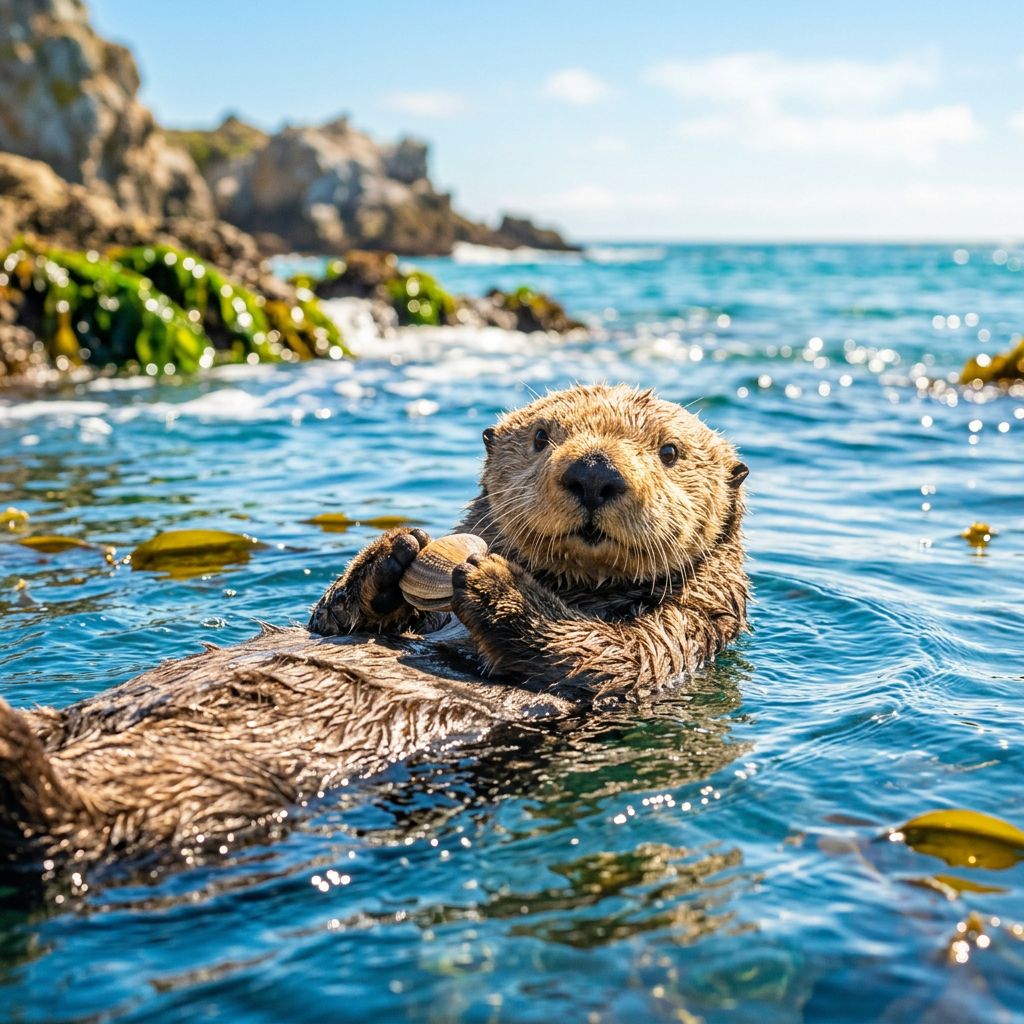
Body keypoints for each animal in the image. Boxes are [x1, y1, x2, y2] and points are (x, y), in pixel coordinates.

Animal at [0, 384, 748, 872]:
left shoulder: (682, 632)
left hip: (202, 788)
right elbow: (331, 621)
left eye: (670, 451)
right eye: (542, 437)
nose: (594, 471)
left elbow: (602, 655)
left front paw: (494, 581)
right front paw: (390, 555)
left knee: (67, 820)